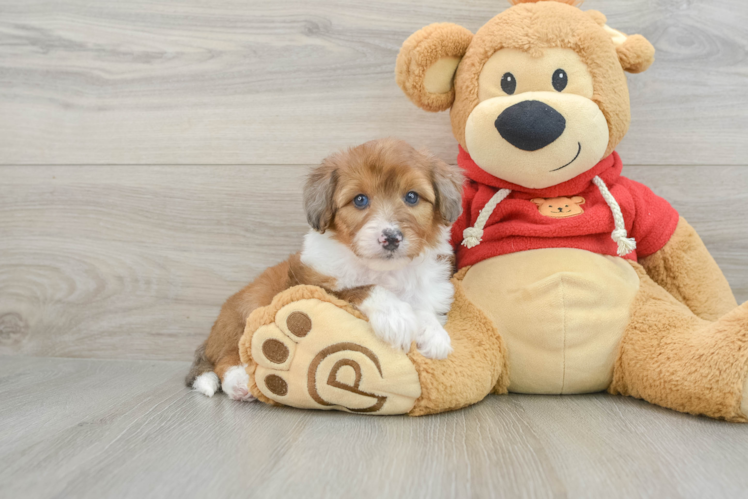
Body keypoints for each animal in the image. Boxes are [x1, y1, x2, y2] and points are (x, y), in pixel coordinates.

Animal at [186, 138, 462, 402]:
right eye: (360, 200)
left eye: (412, 197)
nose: (391, 238)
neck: (385, 270)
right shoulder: (314, 286)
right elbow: (361, 288)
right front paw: (395, 315)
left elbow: (423, 308)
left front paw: (433, 334)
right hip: (245, 313)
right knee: (226, 359)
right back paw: (240, 383)